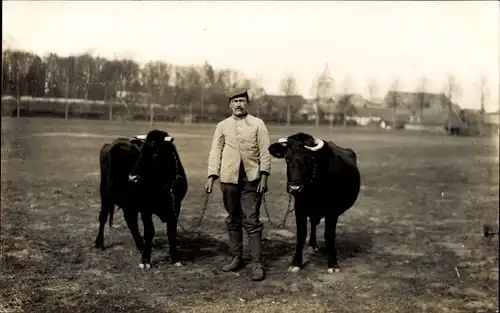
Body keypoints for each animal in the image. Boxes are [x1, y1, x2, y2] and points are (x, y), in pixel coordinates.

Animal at [94, 129, 188, 268]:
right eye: (141, 154)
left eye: (155, 153)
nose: (132, 177)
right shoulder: (145, 208)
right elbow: (149, 231)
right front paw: (145, 260)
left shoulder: (176, 206)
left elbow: (171, 231)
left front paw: (175, 258)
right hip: (105, 195)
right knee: (103, 217)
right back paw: (99, 243)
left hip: (128, 202)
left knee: (131, 221)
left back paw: (140, 245)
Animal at [270, 132, 360, 272]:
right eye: (287, 158)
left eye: (309, 159)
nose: (294, 187)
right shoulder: (299, 207)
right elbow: (301, 234)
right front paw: (296, 263)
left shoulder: (332, 211)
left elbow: (330, 235)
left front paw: (333, 263)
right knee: (313, 223)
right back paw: (312, 245)